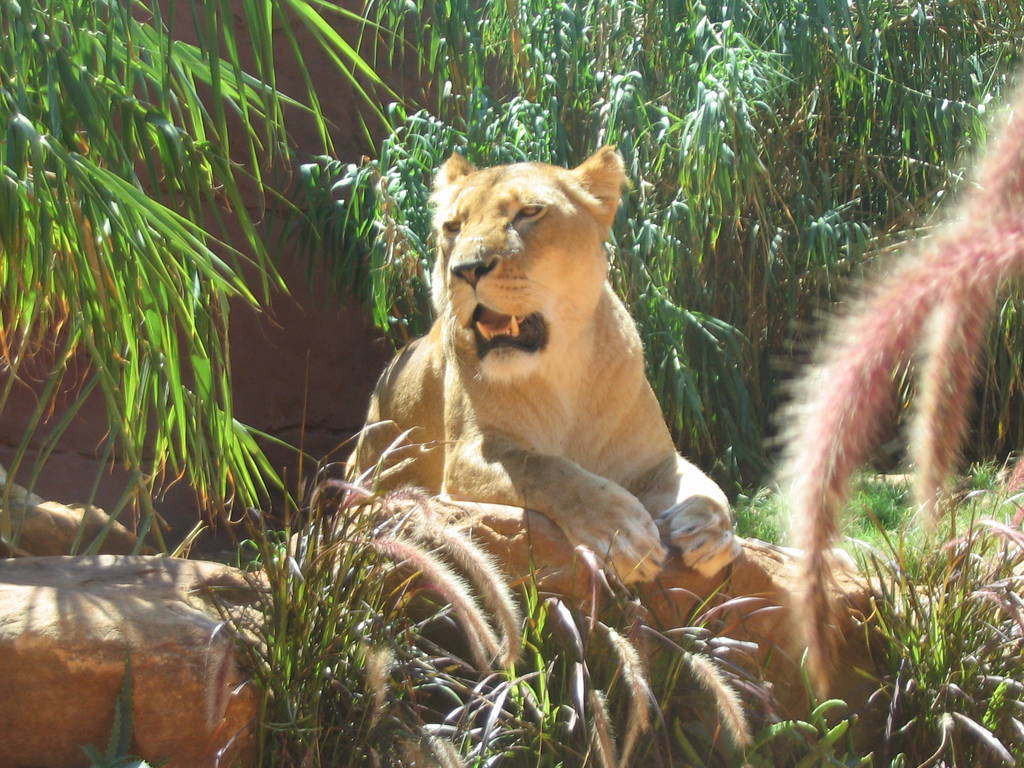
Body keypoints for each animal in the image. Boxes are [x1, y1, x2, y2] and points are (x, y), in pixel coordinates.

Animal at [350, 147, 739, 583]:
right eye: (452, 226)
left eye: (529, 212)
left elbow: (709, 488)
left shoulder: (653, 459)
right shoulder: (468, 455)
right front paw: (622, 533)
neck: (563, 368)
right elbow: (546, 468)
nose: (465, 270)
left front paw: (711, 533)